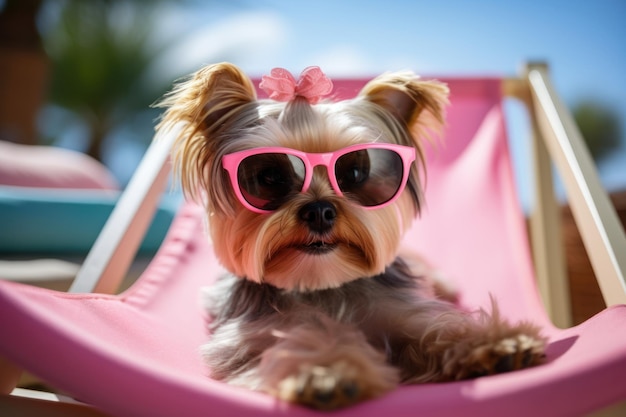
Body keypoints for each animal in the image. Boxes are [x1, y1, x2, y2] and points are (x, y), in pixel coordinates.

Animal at [155, 63, 540, 408]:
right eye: (269, 177)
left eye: (355, 172)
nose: (319, 210)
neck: (322, 283)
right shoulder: (253, 335)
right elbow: (300, 339)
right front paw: (327, 373)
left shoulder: (400, 309)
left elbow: (435, 326)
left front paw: (496, 345)